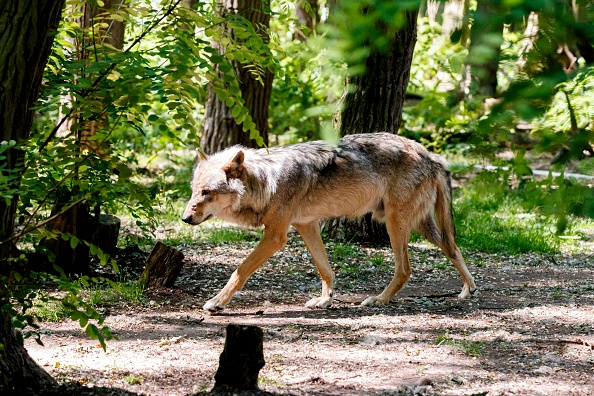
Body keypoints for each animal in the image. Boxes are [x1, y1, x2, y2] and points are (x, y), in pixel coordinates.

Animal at [183, 133, 474, 312]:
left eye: (207, 192)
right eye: (194, 190)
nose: (185, 218)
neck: (265, 181)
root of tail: (431, 155)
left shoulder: (276, 235)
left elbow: (240, 270)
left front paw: (217, 302)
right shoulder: (307, 225)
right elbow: (325, 269)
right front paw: (325, 300)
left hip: (395, 223)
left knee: (405, 269)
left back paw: (379, 299)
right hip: (421, 226)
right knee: (453, 247)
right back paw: (468, 289)